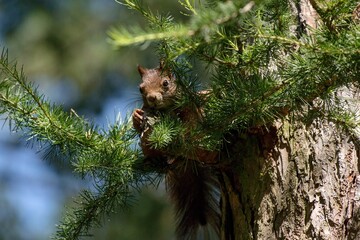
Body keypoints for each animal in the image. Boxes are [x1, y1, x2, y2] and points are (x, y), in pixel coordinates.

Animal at [132, 62, 219, 239]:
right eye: (141, 89)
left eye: (165, 83)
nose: (152, 98)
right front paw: (136, 116)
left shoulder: (189, 106)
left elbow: (191, 118)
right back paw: (154, 159)